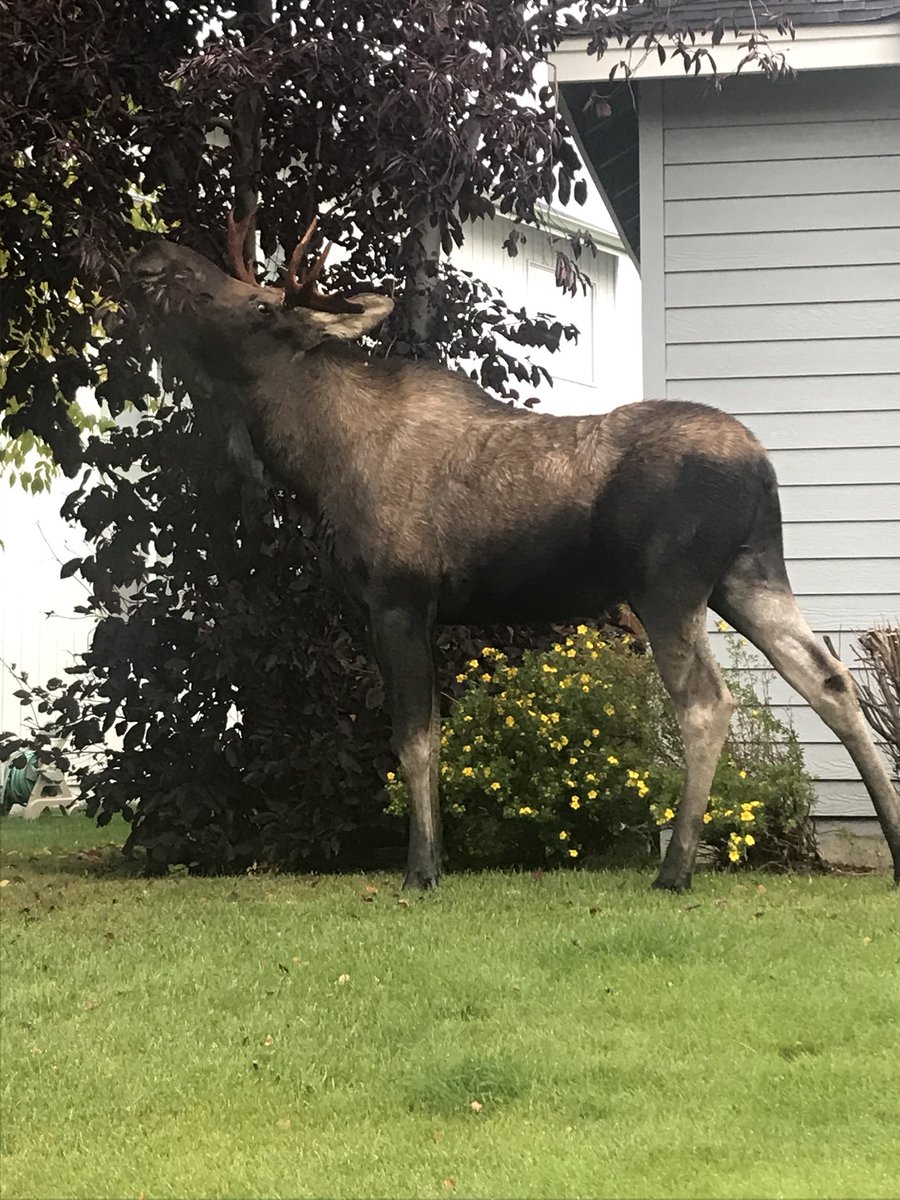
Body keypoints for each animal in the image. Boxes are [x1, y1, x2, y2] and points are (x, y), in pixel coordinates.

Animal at [127, 220, 900, 888]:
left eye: (257, 303)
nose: (156, 254)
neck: (314, 462)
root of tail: (762, 467)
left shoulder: (400, 597)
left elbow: (413, 741)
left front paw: (421, 870)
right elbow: (432, 738)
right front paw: (438, 859)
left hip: (669, 585)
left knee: (708, 702)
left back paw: (675, 869)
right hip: (748, 574)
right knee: (830, 679)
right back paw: (891, 841)